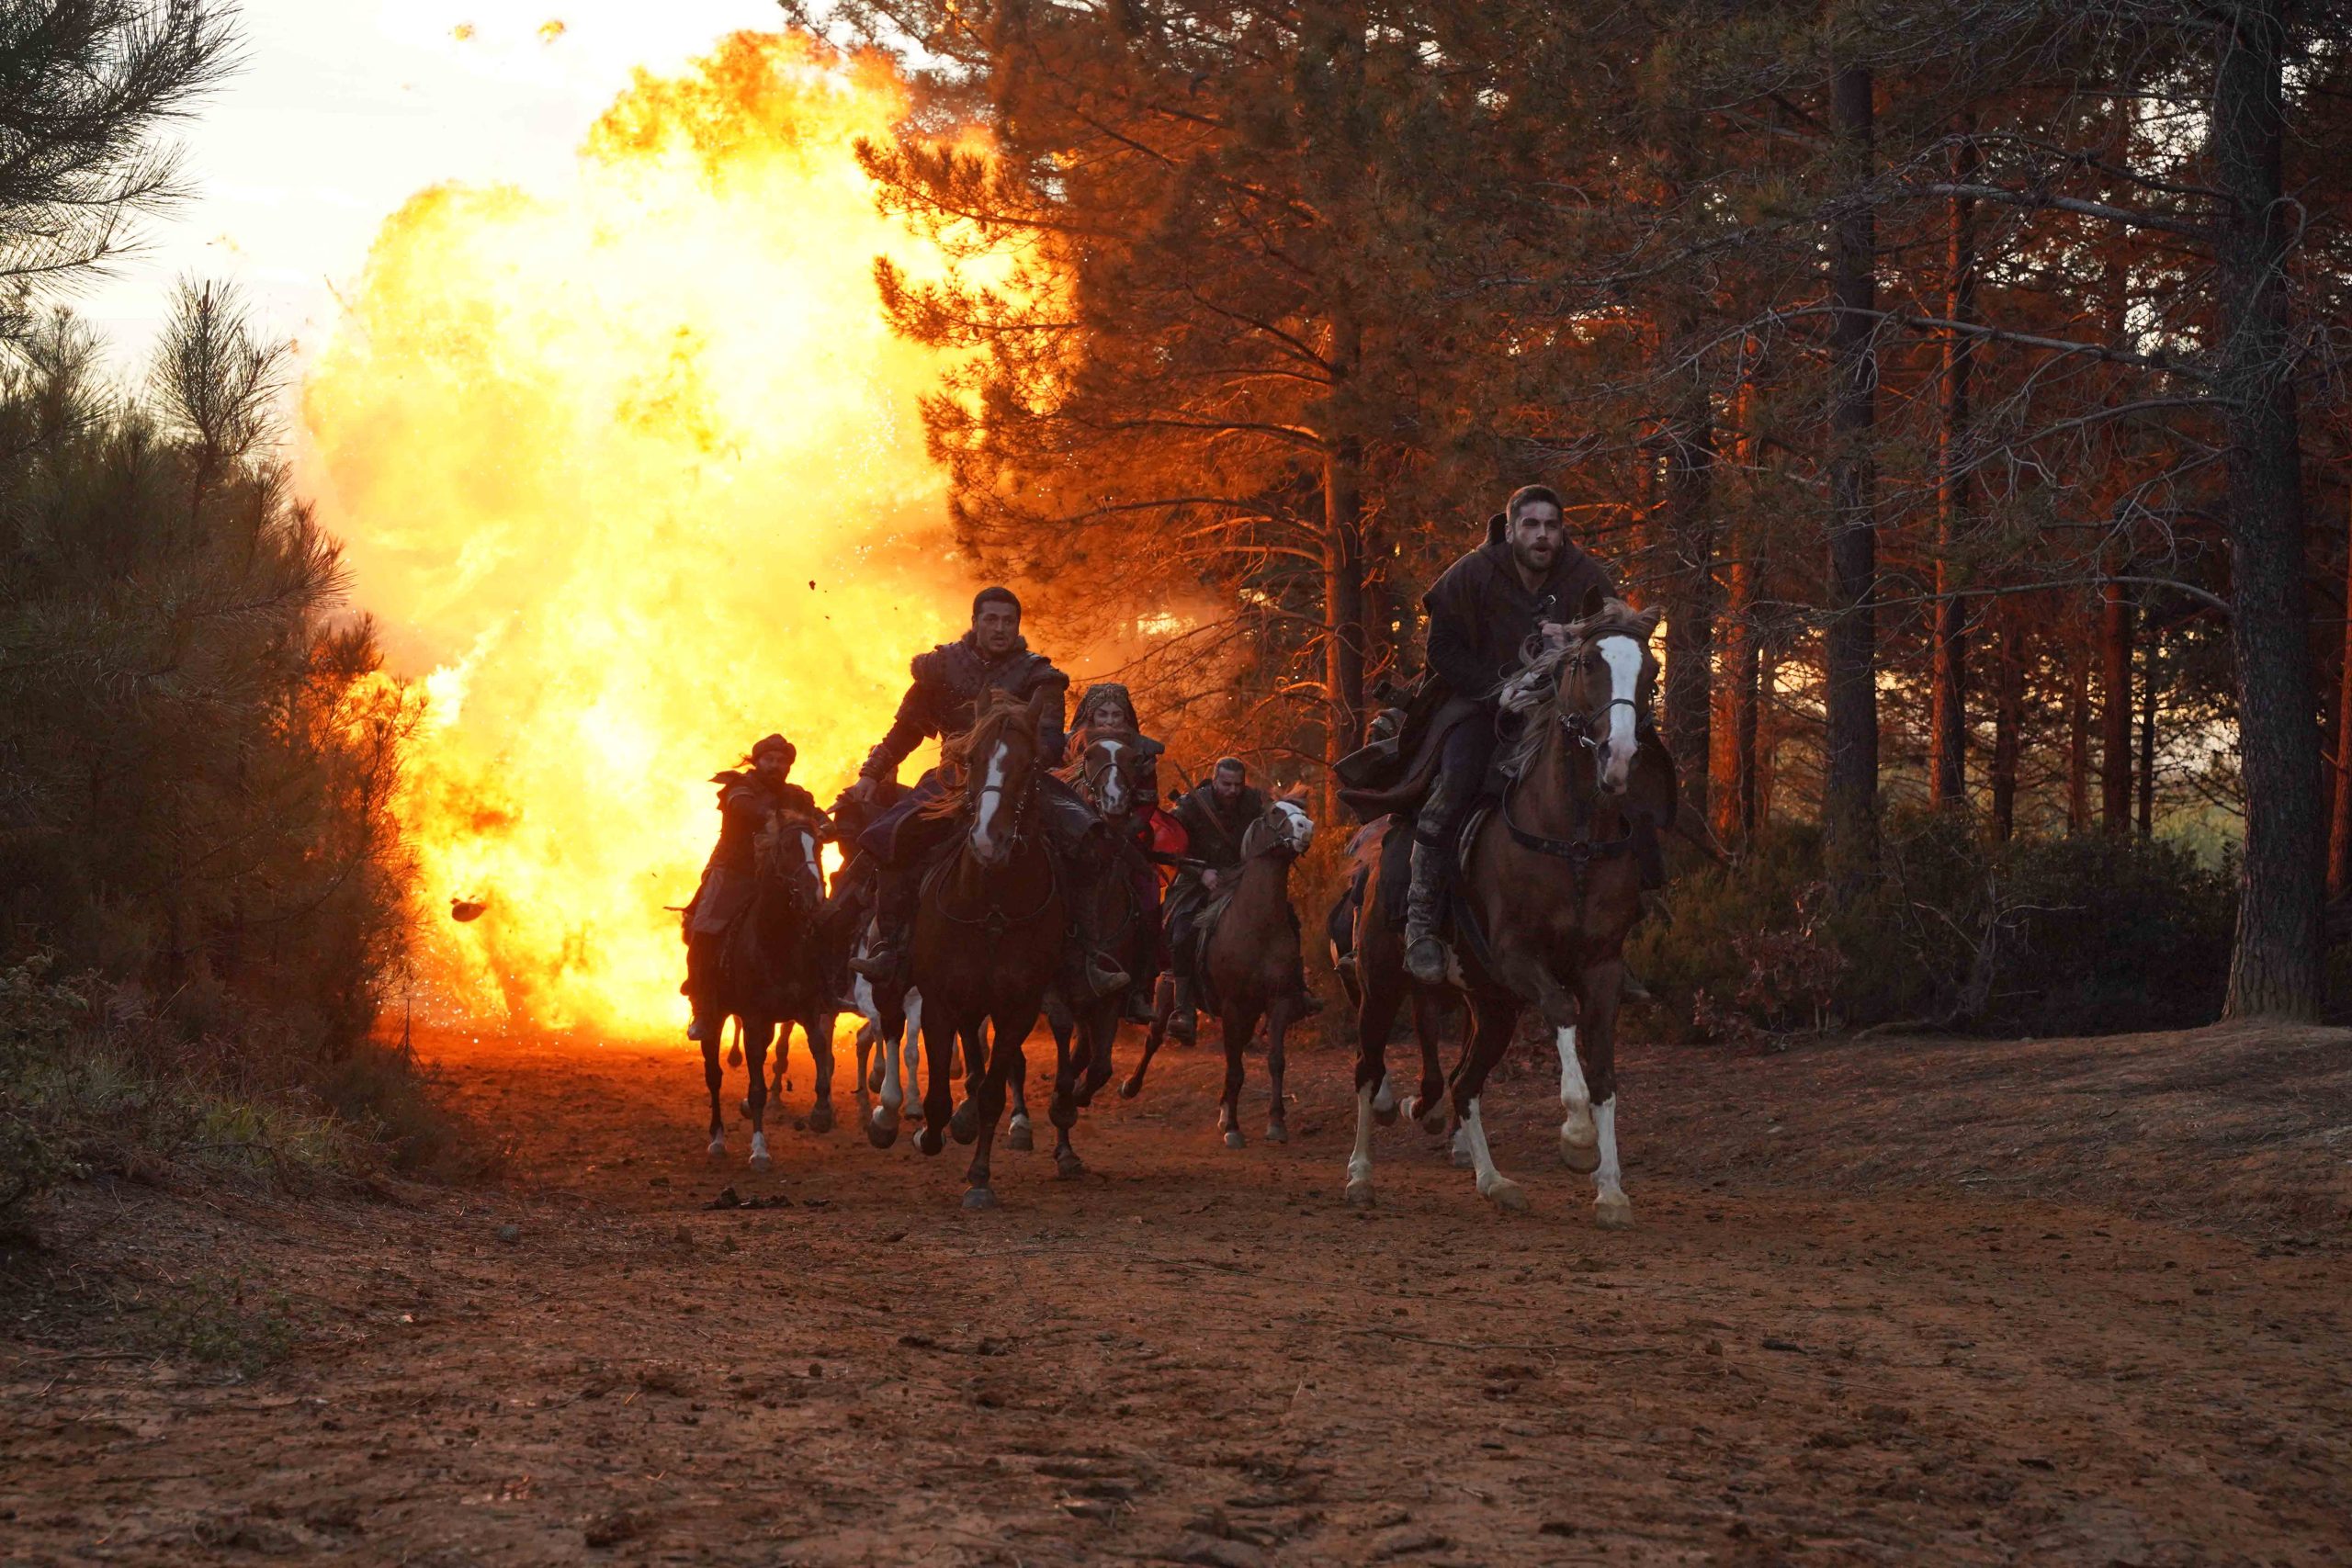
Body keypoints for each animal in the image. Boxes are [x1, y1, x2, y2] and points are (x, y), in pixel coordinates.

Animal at [695, 804, 837, 1170]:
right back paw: (717, 1138)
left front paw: (821, 1112)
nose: (814, 896)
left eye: (818, 847)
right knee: (714, 1074)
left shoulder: (806, 1007)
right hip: (715, 1017)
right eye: (787, 848)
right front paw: (759, 1149)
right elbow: (756, 1083)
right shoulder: (754, 1016)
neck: (776, 939)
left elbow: (819, 1046)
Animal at [908, 682, 1077, 1213]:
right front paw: (932, 1134)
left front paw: (980, 1178)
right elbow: (938, 1096)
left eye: (1031, 763)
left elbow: (993, 1095)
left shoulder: (1017, 1008)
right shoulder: (940, 1002)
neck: (993, 907)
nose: (988, 840)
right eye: (972, 758)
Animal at [1110, 799, 1317, 1152]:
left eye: (1300, 808)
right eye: (1275, 812)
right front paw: (1233, 1128)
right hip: (1167, 995)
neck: (1257, 924)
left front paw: (1275, 1123)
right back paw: (1133, 1085)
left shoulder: (1278, 1002)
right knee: (1154, 1038)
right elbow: (1234, 1069)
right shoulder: (1233, 1007)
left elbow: (1275, 1061)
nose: (1307, 828)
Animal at [1345, 602, 1674, 1222]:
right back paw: (1360, 1175)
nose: (1618, 756)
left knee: (1464, 1084)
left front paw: (1611, 1189)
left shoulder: (1603, 969)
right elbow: (1562, 1012)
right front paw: (1577, 1138)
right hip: (1379, 984)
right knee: (1368, 1071)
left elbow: (1604, 1074)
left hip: (1492, 1007)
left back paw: (1493, 1181)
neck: (1573, 841)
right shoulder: (1520, 957)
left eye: (1651, 670)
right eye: (1588, 664)